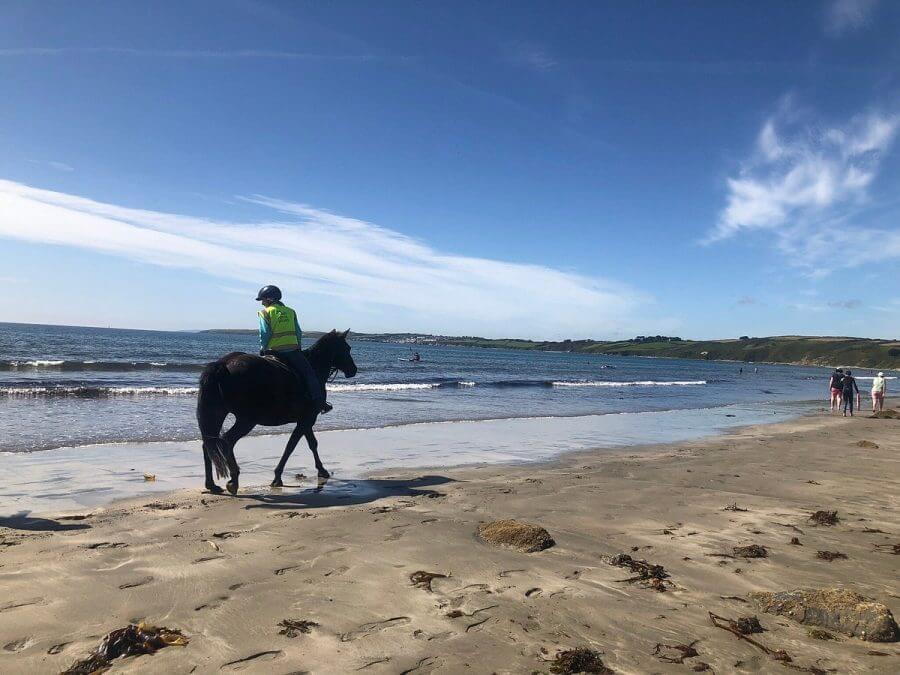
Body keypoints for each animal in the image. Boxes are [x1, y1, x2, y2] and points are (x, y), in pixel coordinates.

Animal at [195, 328, 356, 494]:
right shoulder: (307, 419)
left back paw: (211, 485)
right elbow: (292, 446)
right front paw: (278, 476)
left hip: (218, 414)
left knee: (209, 444)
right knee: (227, 441)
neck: (314, 367)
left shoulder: (305, 420)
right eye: (347, 348)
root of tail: (222, 364)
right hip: (247, 420)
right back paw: (234, 480)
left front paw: (321, 470)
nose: (353, 370)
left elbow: (311, 443)